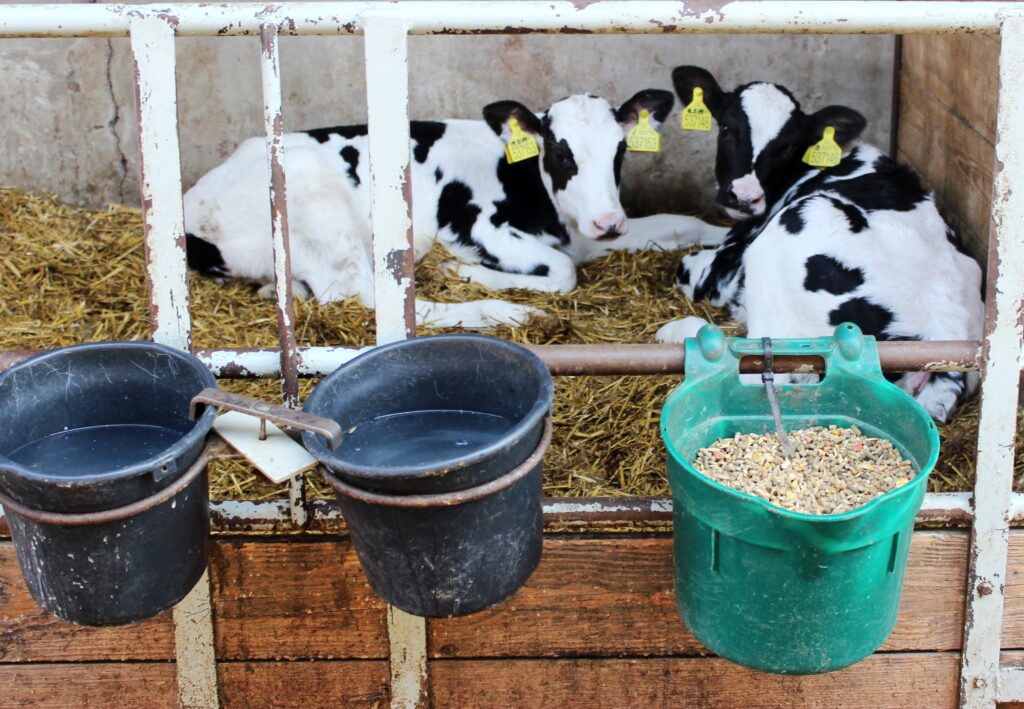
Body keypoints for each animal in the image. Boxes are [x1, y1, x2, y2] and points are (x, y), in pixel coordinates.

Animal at [184, 90, 725, 328]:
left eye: (621, 150)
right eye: (560, 152)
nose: (608, 222)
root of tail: (193, 208)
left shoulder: (589, 233)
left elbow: (685, 223)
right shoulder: (475, 226)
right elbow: (563, 272)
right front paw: (462, 272)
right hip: (314, 198)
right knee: (374, 300)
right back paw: (507, 312)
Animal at [655, 66, 984, 423]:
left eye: (787, 148)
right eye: (727, 128)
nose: (743, 197)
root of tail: (942, 326)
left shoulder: (719, 269)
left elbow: (687, 267)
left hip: (801, 222)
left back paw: (679, 333)